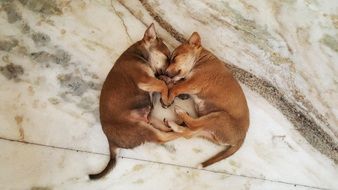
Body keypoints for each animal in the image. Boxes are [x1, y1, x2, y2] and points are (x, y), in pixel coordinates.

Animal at [88, 24, 181, 180]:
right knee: (165, 137)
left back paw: (175, 124)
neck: (139, 54)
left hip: (149, 119)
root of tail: (111, 143)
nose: (170, 73)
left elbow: (161, 83)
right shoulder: (146, 81)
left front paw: (168, 84)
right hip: (142, 128)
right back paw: (187, 130)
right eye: (167, 57)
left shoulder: (151, 84)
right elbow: (162, 85)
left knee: (164, 128)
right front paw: (167, 95)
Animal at [162, 32, 250, 168]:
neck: (201, 59)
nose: (165, 72)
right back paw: (173, 123)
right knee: (190, 133)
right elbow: (175, 83)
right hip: (208, 130)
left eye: (175, 58)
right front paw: (168, 81)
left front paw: (168, 98)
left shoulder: (193, 83)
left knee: (193, 125)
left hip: (218, 117)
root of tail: (242, 138)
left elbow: (176, 87)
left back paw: (179, 111)